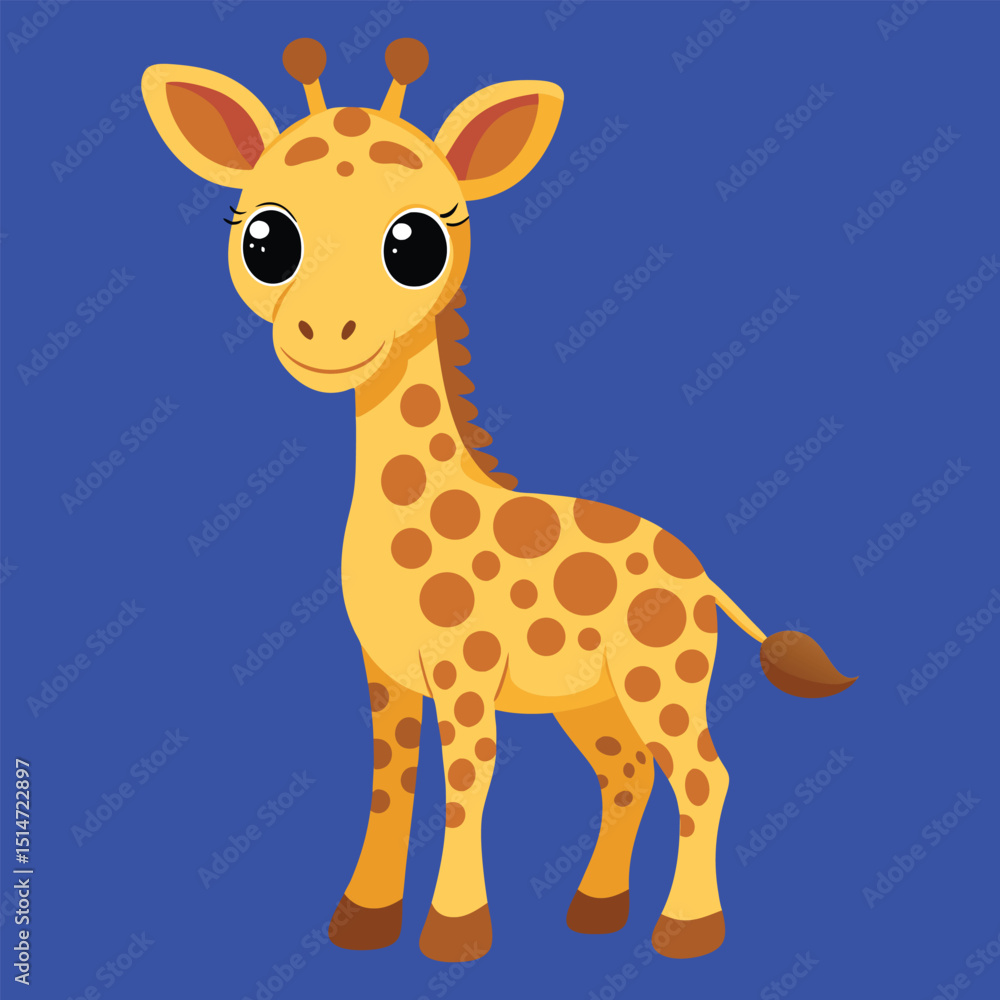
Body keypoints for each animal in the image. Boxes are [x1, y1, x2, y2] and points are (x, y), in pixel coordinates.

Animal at [142, 37, 856, 964]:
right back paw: (596, 910)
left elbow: (465, 784)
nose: (324, 334)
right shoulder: (387, 673)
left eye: (415, 243)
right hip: (590, 697)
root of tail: (705, 579)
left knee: (703, 775)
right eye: (266, 237)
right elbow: (393, 785)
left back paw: (685, 930)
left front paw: (454, 931)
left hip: (662, 677)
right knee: (626, 772)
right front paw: (363, 920)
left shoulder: (467, 670)